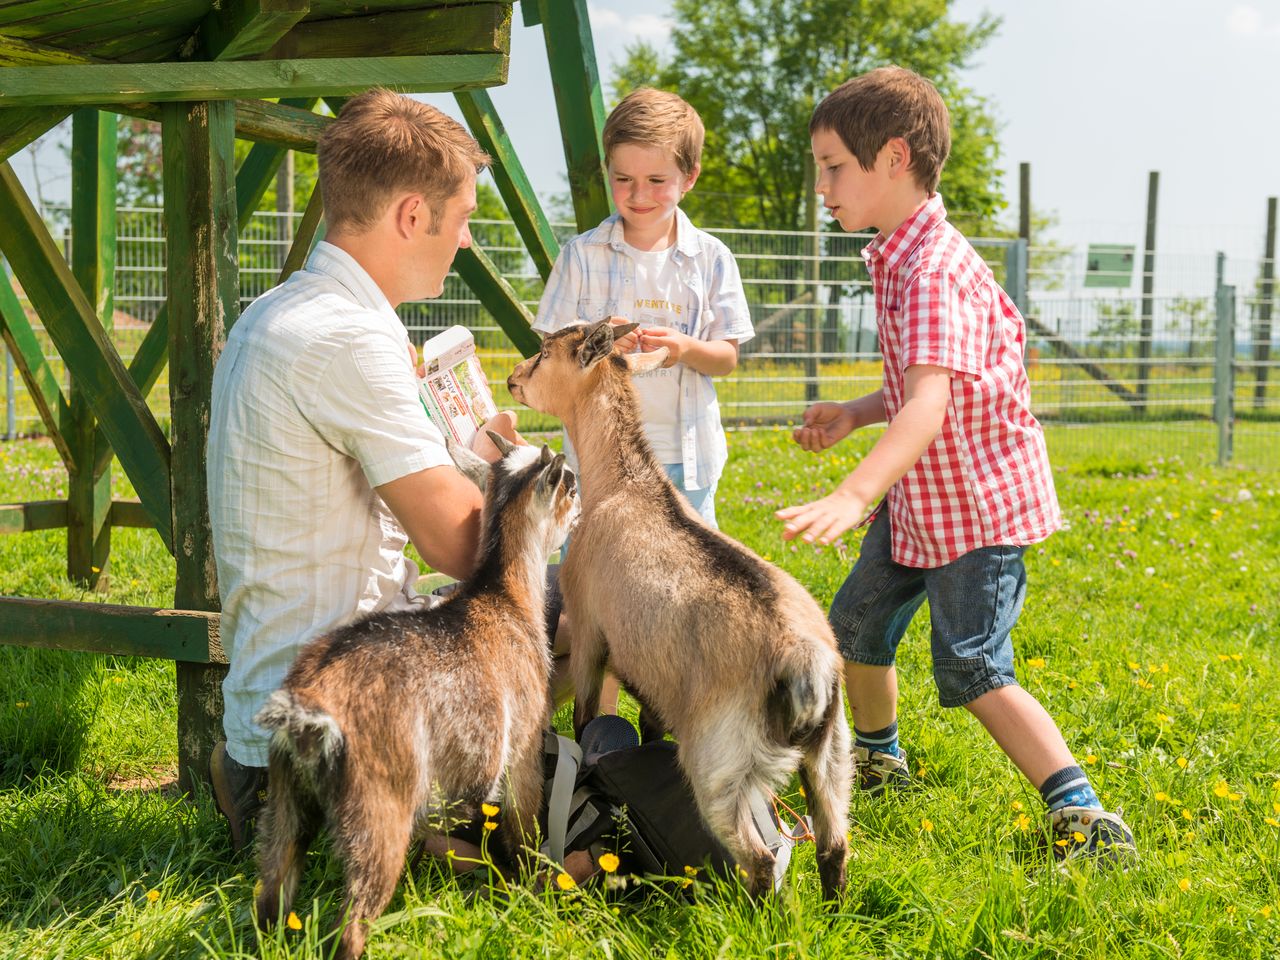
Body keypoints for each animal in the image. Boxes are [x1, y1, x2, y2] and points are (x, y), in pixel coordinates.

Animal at [250, 440, 581, 957]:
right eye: (569, 484)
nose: (584, 504)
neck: (504, 597)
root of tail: (310, 701)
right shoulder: (524, 750)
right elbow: (525, 829)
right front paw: (533, 892)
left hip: (285, 798)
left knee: (271, 896)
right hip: (379, 806)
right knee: (351, 924)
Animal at [506, 323, 849, 901]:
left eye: (544, 352)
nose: (511, 379)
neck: (626, 484)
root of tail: (806, 663)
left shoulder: (591, 627)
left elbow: (586, 715)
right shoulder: (653, 674)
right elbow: (649, 725)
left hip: (720, 760)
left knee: (758, 858)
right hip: (832, 752)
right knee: (835, 843)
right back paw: (836, 912)